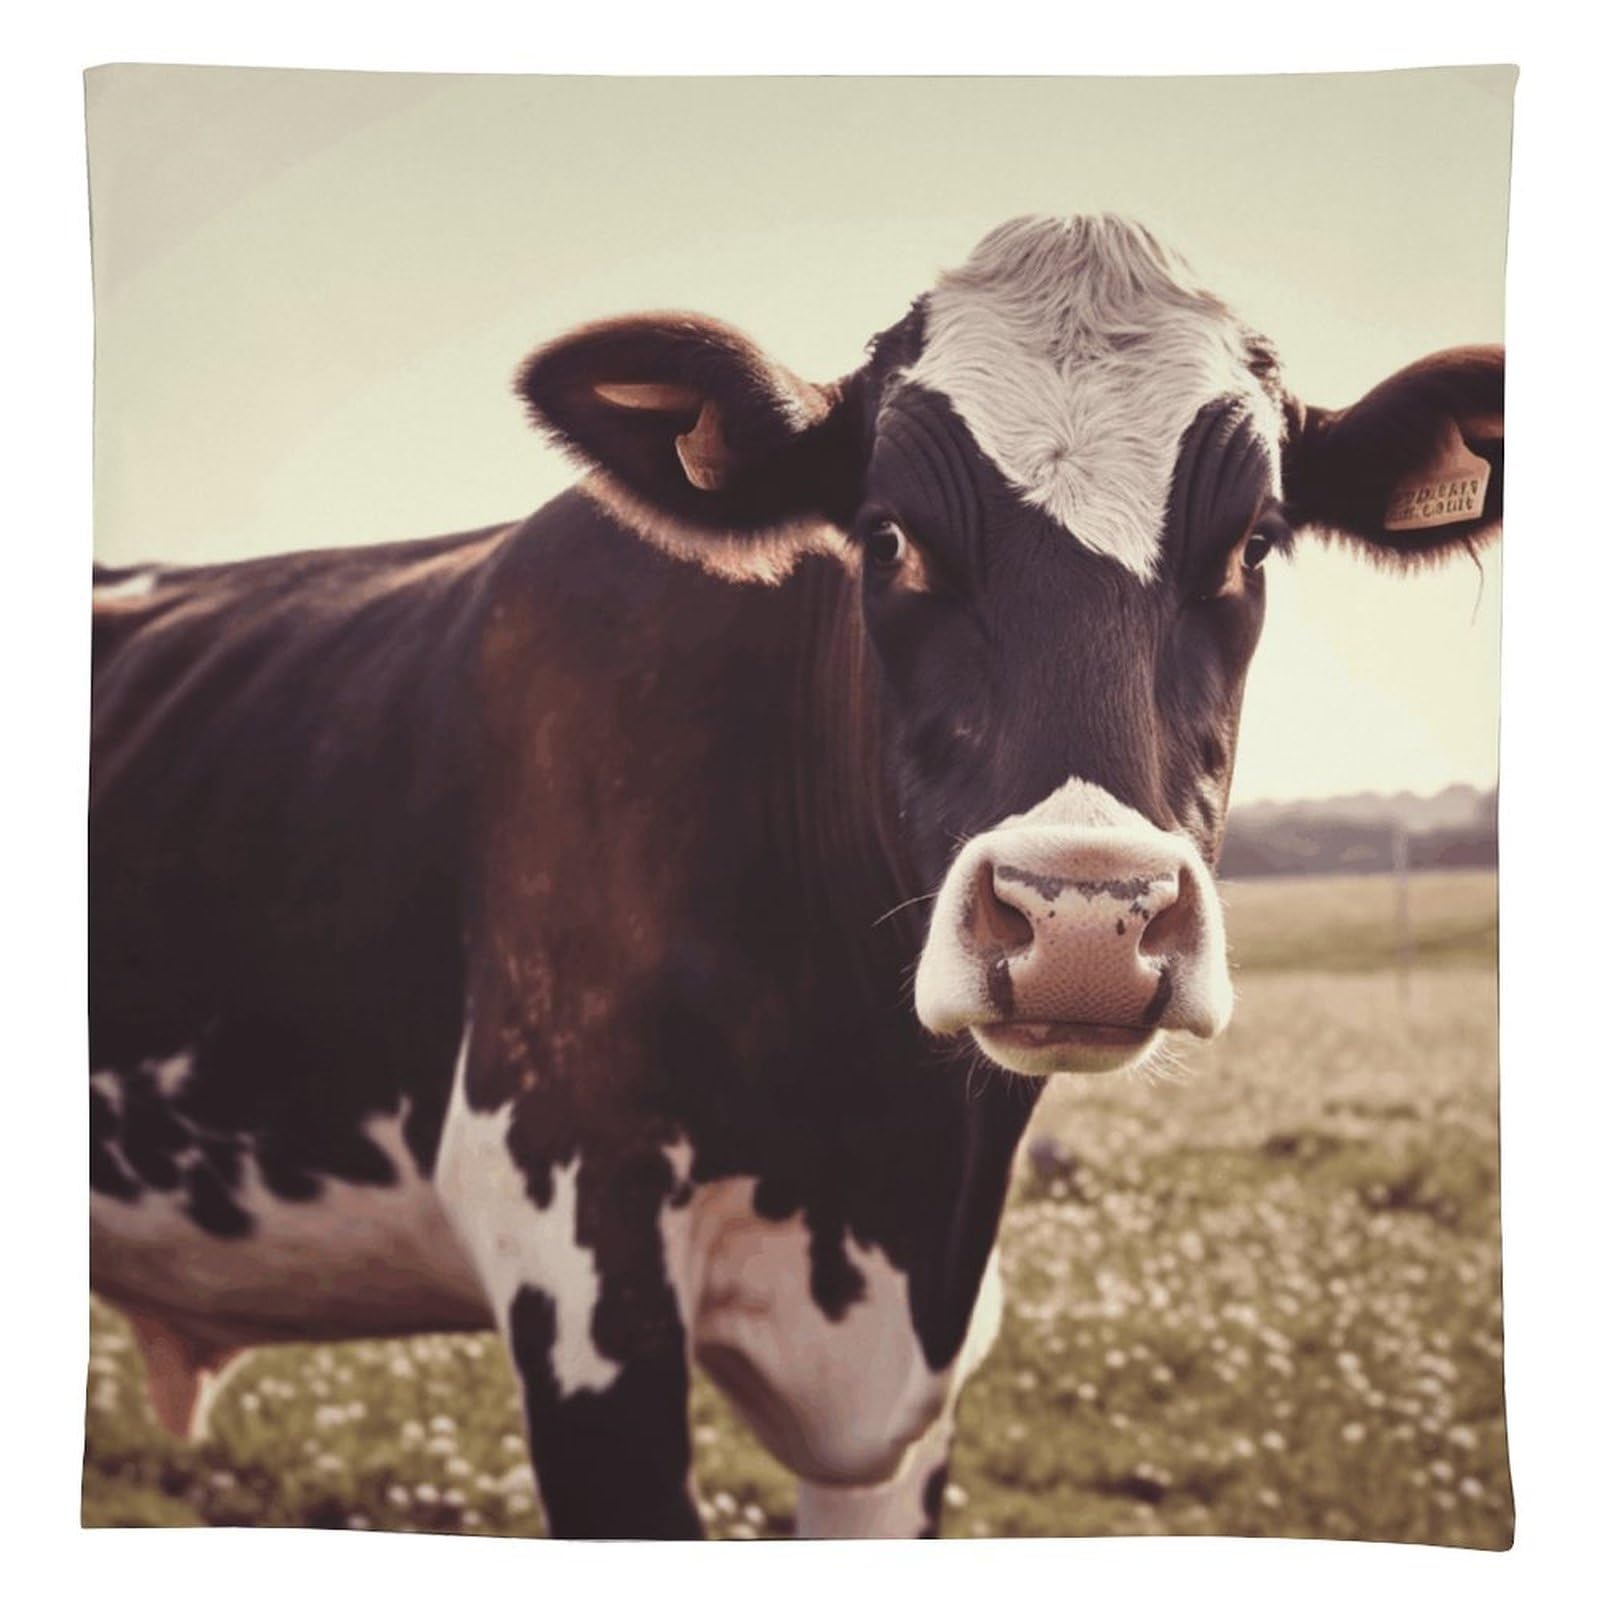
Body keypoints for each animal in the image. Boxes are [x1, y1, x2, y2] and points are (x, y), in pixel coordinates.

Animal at [89, 214, 1504, 1539]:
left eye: (1254, 542)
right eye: (888, 537)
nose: (1084, 919)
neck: (890, 1159)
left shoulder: (906, 1393)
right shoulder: (574, 1252)